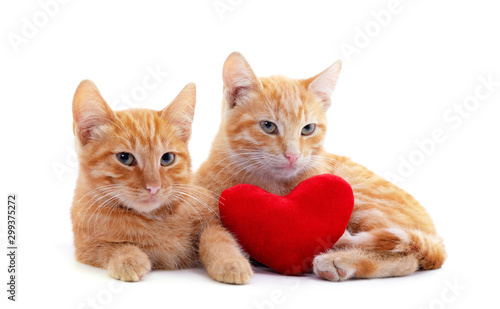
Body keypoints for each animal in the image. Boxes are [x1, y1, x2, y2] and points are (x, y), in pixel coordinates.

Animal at [71, 79, 252, 282]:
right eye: (125, 157)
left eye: (167, 158)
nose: (153, 187)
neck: (154, 217)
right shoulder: (85, 246)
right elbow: (111, 247)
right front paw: (128, 258)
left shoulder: (213, 218)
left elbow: (218, 236)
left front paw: (230, 262)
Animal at [195, 51, 446, 280]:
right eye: (268, 126)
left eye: (308, 129)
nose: (292, 155)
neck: (273, 185)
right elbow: (212, 236)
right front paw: (230, 263)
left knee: (408, 257)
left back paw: (340, 260)